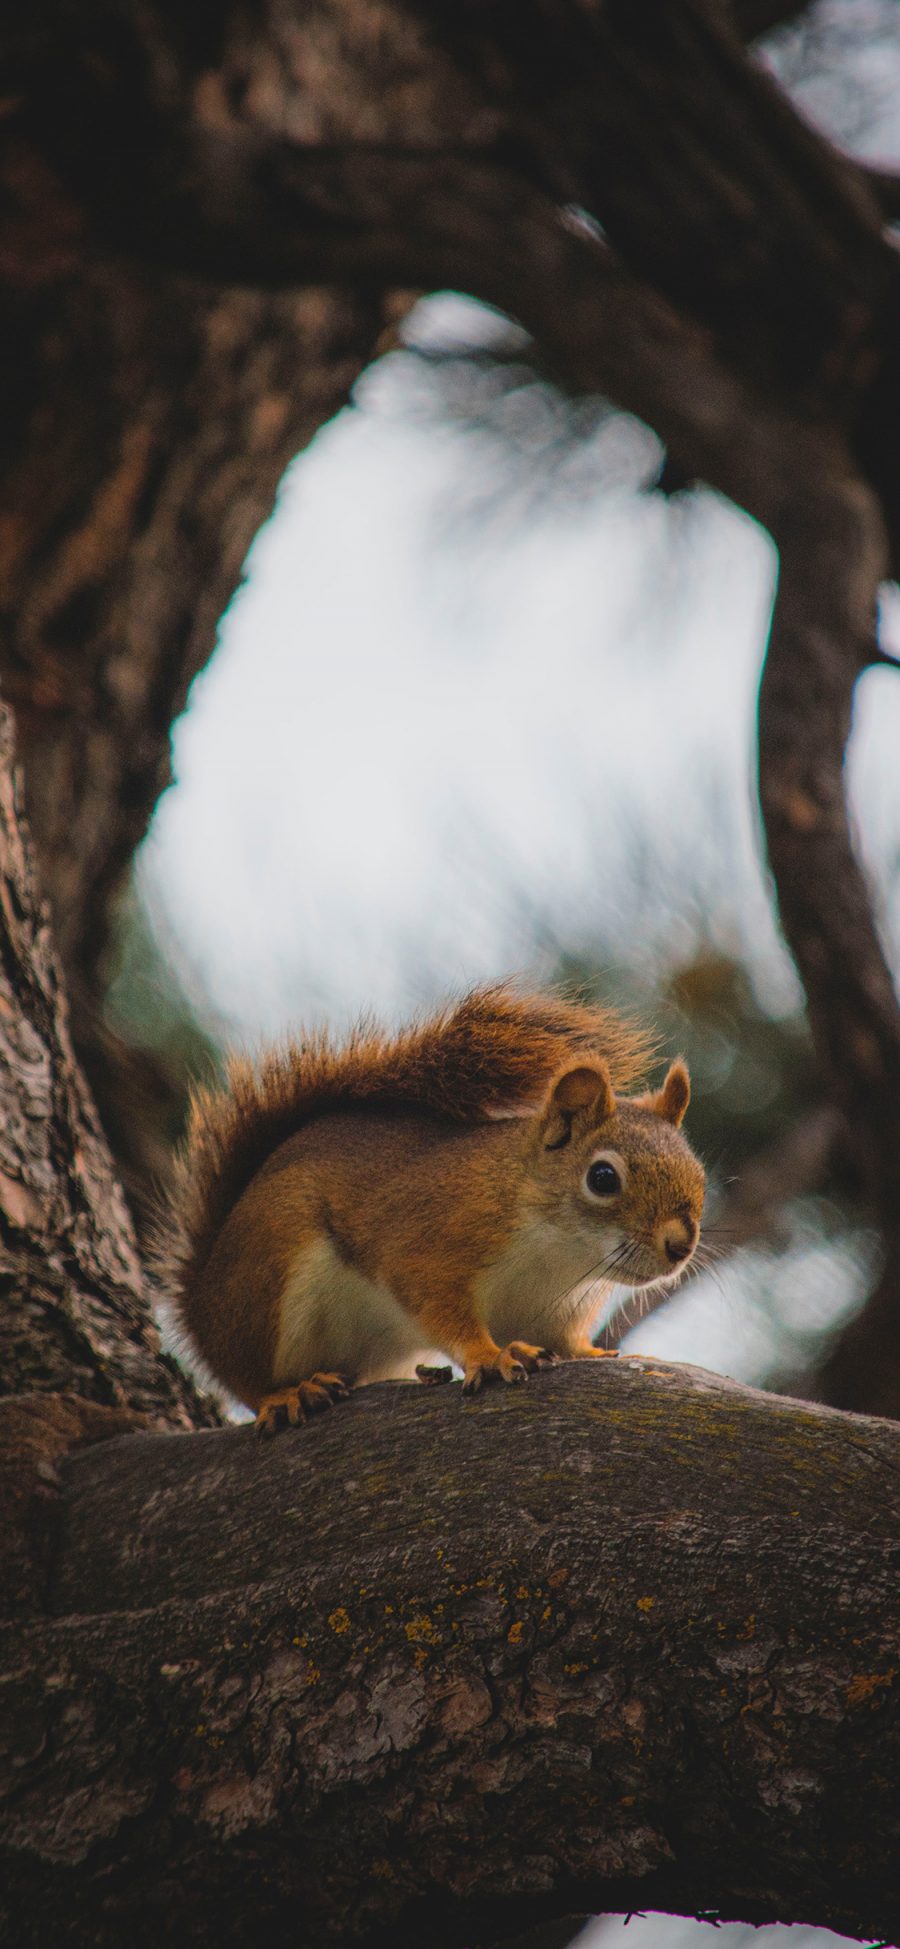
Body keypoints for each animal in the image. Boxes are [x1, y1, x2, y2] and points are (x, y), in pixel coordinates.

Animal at [159, 990, 701, 1434]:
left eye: (698, 1175)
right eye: (603, 1178)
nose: (680, 1246)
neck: (558, 1257)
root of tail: (201, 1307)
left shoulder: (557, 1312)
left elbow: (567, 1343)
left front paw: (594, 1352)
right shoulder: (430, 1248)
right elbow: (442, 1310)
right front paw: (490, 1355)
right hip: (267, 1280)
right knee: (246, 1378)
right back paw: (287, 1392)